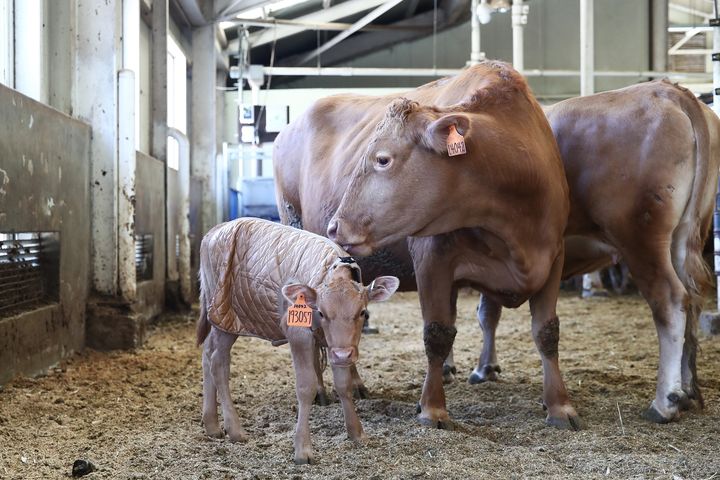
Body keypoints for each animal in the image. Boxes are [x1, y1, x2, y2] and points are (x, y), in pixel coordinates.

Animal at [197, 218, 400, 464]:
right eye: (321, 312)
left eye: (362, 312)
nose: (343, 355)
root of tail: (214, 231)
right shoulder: (298, 333)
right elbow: (306, 386)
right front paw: (303, 449)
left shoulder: (335, 344)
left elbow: (343, 384)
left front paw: (356, 432)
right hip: (225, 313)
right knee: (218, 361)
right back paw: (235, 429)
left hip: (221, 317)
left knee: (208, 353)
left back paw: (212, 424)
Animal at [274, 61, 580, 432]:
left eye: (382, 159)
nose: (335, 225)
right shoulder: (432, 259)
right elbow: (437, 333)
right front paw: (432, 408)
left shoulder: (553, 257)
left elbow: (546, 332)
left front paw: (559, 406)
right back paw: (320, 389)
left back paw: (355, 383)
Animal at [458, 79, 716, 424]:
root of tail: (669, 91)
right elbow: (488, 312)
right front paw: (485, 367)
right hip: (687, 235)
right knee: (693, 302)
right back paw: (687, 392)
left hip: (641, 237)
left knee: (671, 301)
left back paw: (664, 402)